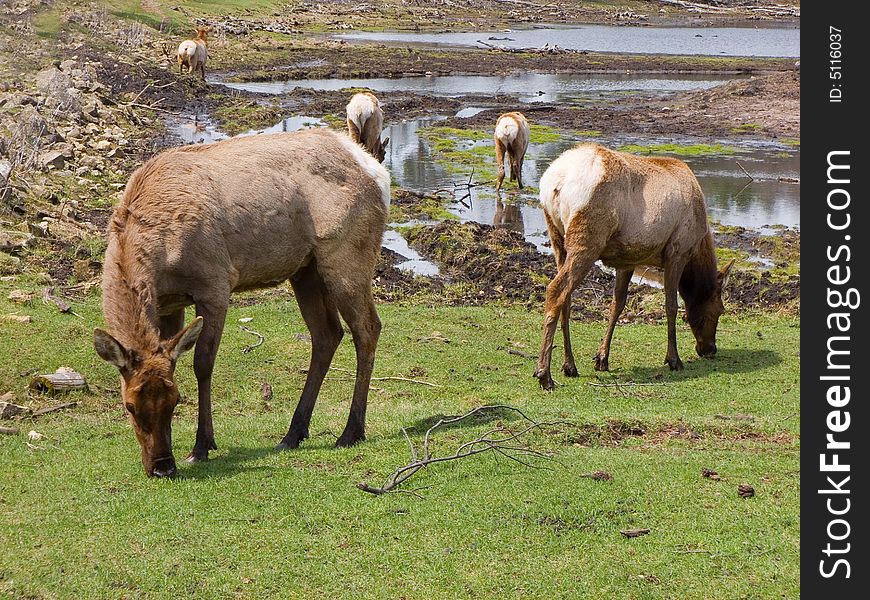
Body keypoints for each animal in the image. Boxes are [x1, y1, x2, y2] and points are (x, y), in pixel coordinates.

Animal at [93, 129, 390, 476]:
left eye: (176, 400)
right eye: (129, 405)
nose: (163, 466)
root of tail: (377, 171)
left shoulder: (215, 283)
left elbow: (203, 363)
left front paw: (202, 445)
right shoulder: (168, 303)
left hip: (346, 255)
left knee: (367, 328)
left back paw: (351, 431)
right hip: (306, 269)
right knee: (328, 333)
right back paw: (293, 433)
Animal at [536, 143, 732, 392]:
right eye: (719, 310)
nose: (709, 349)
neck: (697, 249)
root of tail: (555, 182)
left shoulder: (627, 259)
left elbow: (617, 305)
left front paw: (602, 358)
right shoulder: (677, 251)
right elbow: (671, 306)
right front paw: (673, 359)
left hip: (556, 237)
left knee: (566, 299)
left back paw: (569, 365)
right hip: (588, 238)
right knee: (556, 290)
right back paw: (544, 374)